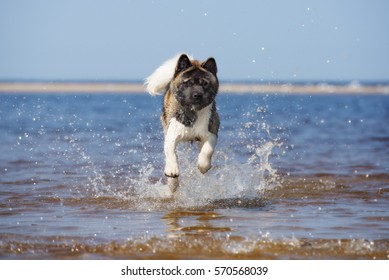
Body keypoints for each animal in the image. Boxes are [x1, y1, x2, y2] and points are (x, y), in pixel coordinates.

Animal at [145, 53, 220, 194]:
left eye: (204, 83)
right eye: (188, 82)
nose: (197, 95)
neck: (192, 111)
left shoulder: (212, 130)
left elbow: (208, 149)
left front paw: (203, 165)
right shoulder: (171, 133)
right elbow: (170, 152)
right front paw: (172, 170)